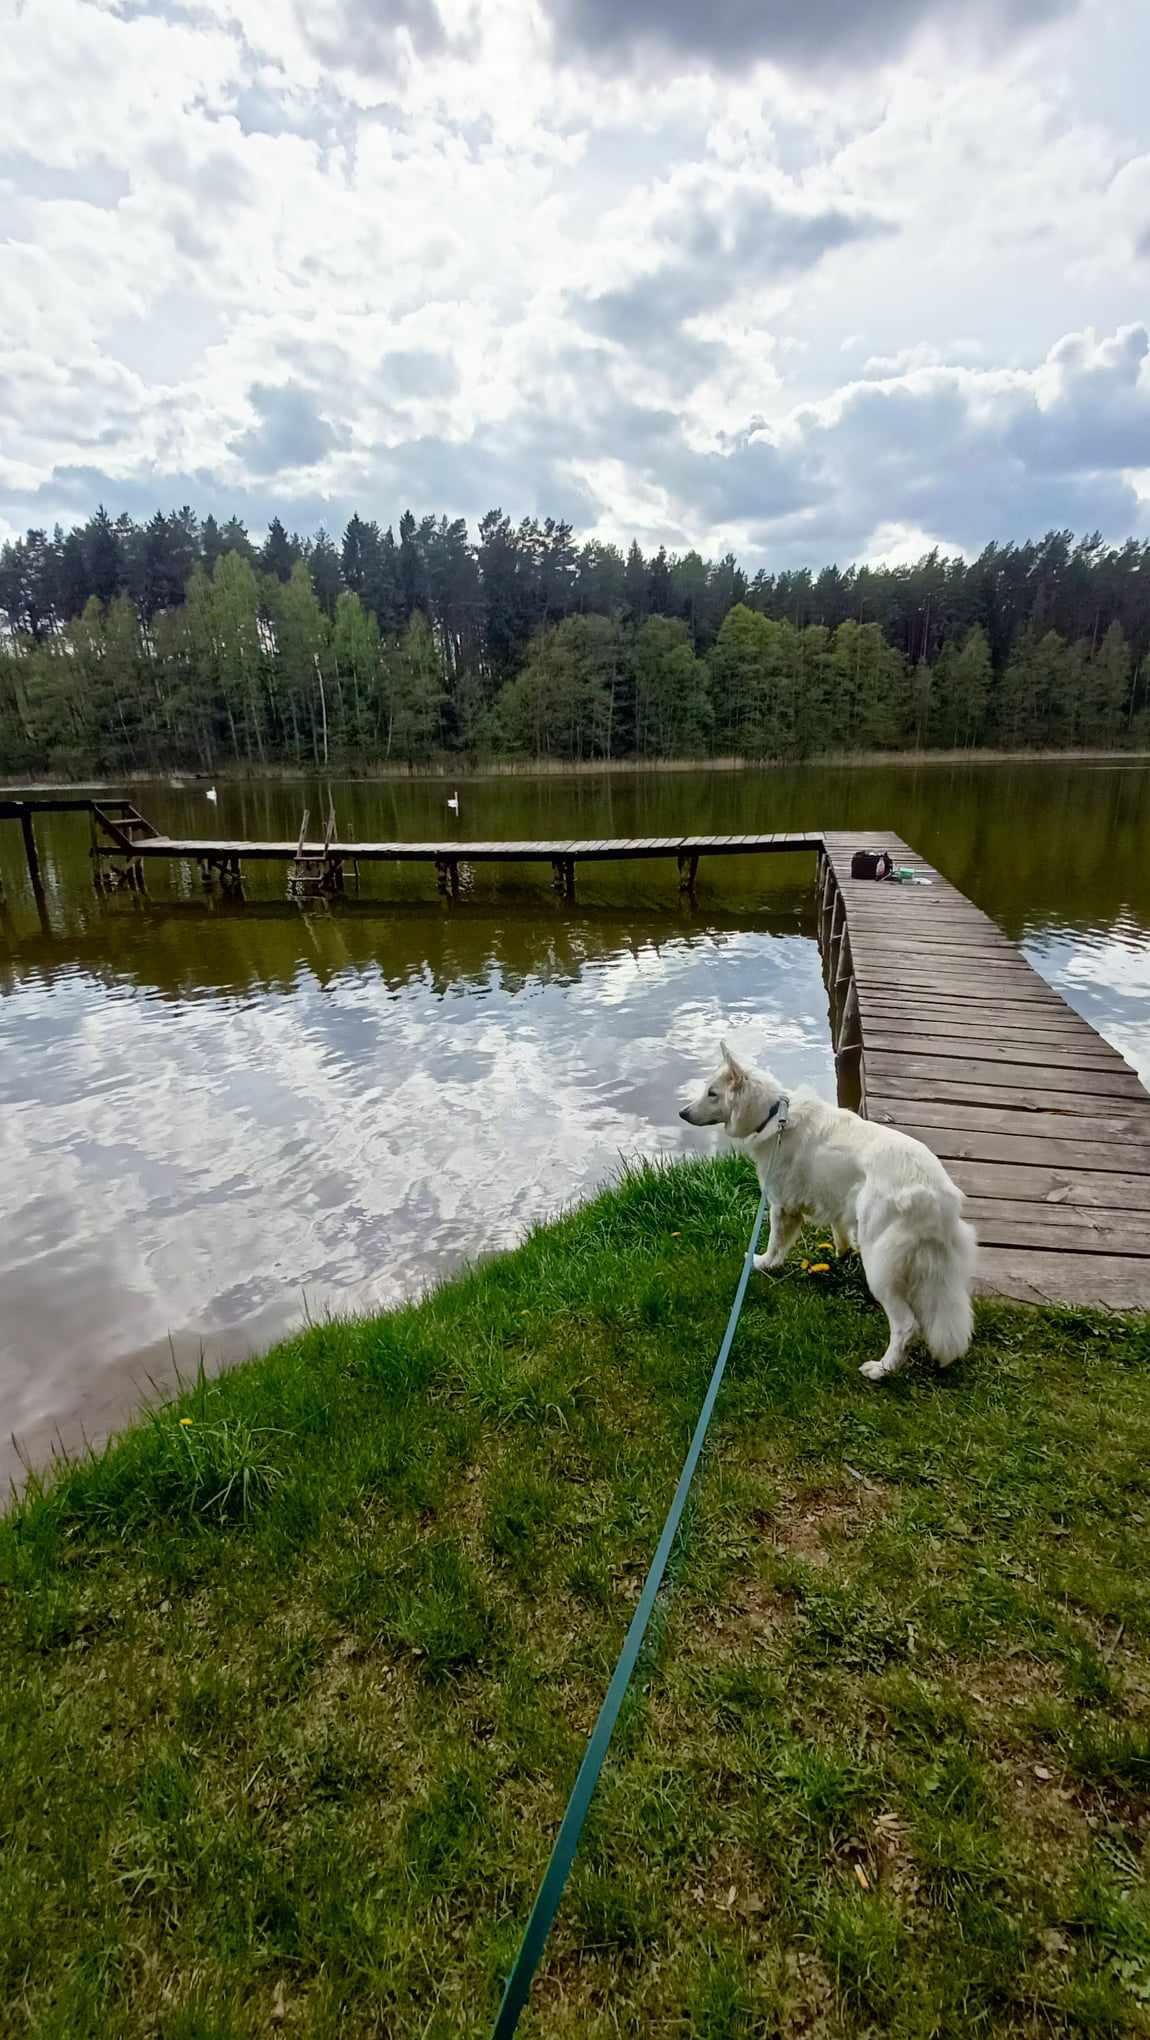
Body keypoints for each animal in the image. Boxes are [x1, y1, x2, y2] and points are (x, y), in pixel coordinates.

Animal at [681, 1036, 978, 1387]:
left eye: (712, 1093)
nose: (682, 1113)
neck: (772, 1116)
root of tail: (934, 1193)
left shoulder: (781, 1206)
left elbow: (774, 1245)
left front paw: (762, 1264)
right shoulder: (837, 1202)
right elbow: (839, 1230)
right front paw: (841, 1253)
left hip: (880, 1268)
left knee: (906, 1326)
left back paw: (882, 1369)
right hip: (937, 1273)